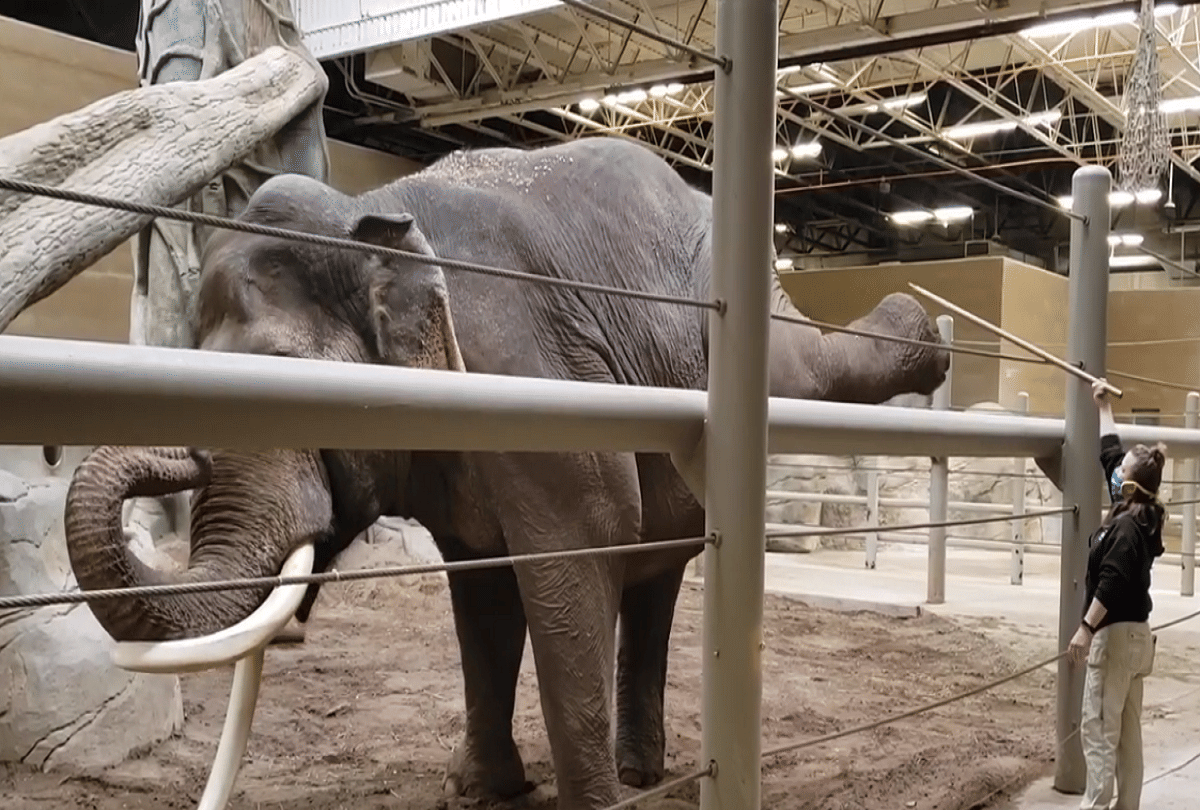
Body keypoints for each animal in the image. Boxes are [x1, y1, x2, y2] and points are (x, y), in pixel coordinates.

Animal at [63, 137, 949, 810]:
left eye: (282, 381)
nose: (182, 453)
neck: (374, 215)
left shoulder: (533, 377)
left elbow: (576, 554)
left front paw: (585, 803)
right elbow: (481, 587)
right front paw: (484, 790)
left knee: (786, 388)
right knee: (655, 571)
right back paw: (641, 772)